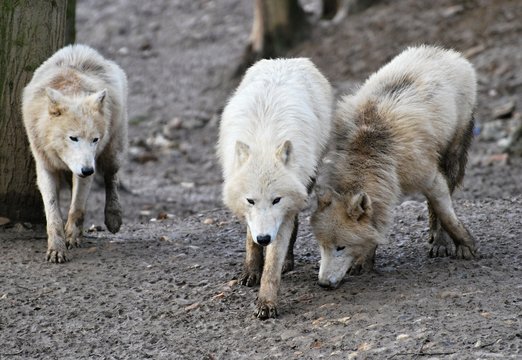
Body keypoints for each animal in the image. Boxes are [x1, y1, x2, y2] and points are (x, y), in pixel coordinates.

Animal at [22, 44, 128, 264]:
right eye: (73, 138)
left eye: (94, 140)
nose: (87, 170)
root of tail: (82, 49)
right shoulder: (45, 167)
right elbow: (53, 213)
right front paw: (56, 248)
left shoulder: (89, 165)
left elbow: (77, 206)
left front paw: (71, 236)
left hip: (113, 151)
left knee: (111, 177)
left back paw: (113, 217)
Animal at [216, 58, 332, 318]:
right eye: (250, 200)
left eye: (276, 200)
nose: (264, 238)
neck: (263, 142)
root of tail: (287, 60)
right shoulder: (250, 214)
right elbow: (249, 238)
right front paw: (251, 269)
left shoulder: (283, 214)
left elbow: (273, 265)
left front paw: (266, 302)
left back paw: (287, 260)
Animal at [308, 45, 476, 288]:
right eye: (322, 246)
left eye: (341, 247)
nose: (323, 284)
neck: (370, 153)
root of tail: (443, 51)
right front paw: (365, 261)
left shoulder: (430, 177)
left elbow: (446, 214)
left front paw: (465, 245)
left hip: (452, 156)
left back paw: (440, 241)